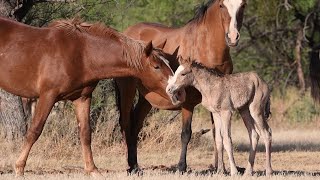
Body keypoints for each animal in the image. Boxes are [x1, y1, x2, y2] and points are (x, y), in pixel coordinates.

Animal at [0, 17, 178, 177]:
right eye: (156, 66)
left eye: (168, 64)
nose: (173, 90)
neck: (82, 54)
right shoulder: (48, 96)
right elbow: (34, 130)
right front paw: (19, 168)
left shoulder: (82, 98)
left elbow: (85, 133)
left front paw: (92, 170)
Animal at [115, 0, 248, 173]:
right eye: (221, 6)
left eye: (243, 5)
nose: (232, 37)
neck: (206, 49)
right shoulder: (187, 103)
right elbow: (186, 134)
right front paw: (181, 166)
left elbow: (217, 133)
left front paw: (220, 168)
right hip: (127, 91)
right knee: (126, 124)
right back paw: (130, 166)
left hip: (146, 97)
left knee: (136, 124)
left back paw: (136, 165)